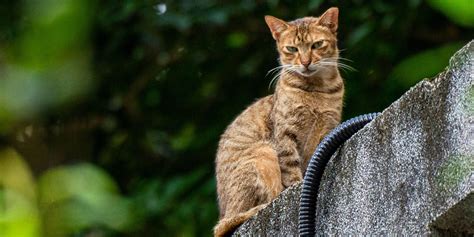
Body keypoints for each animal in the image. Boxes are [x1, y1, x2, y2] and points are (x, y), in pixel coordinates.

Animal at [213, 7, 342, 237]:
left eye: (317, 45)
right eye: (292, 49)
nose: (305, 62)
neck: (317, 89)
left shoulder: (327, 130)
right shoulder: (284, 135)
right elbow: (291, 169)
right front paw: (297, 185)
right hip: (263, 151)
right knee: (230, 221)